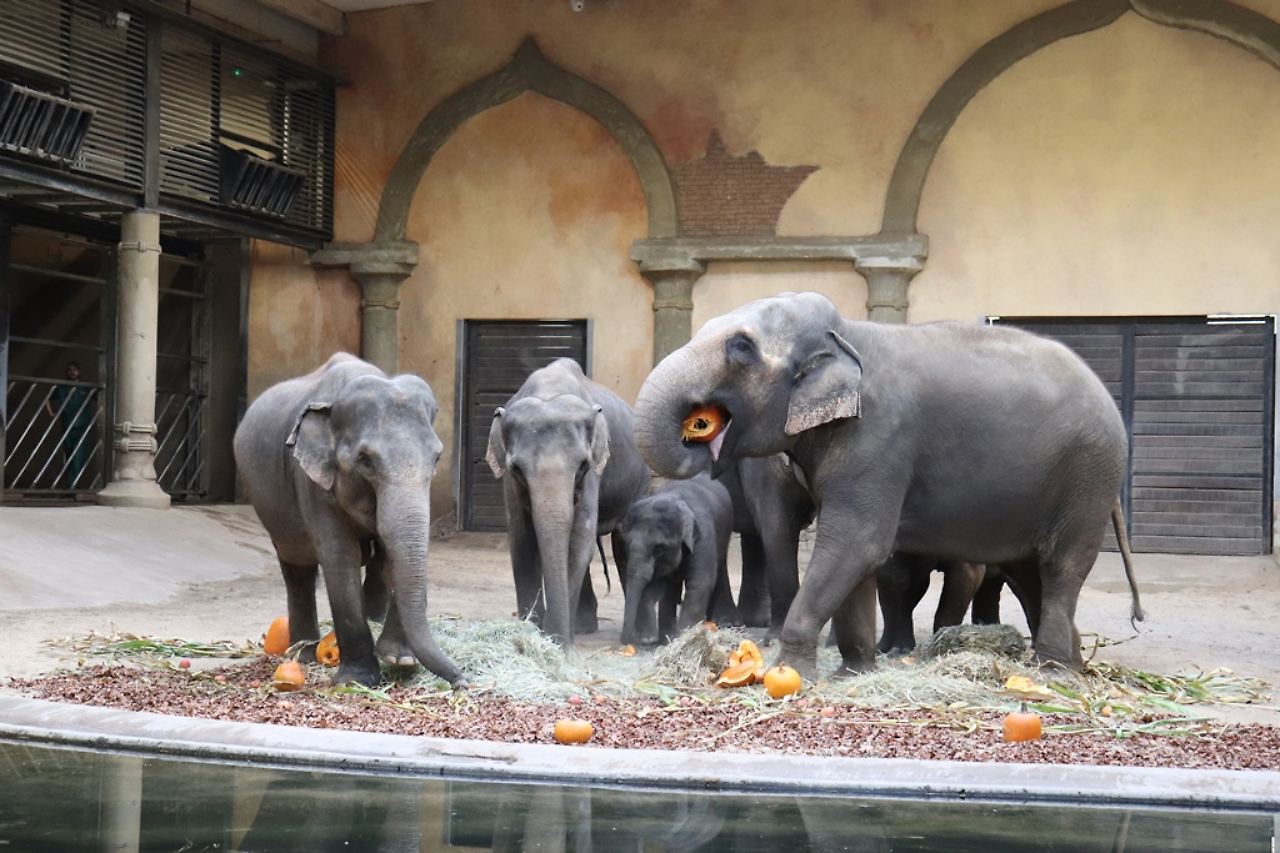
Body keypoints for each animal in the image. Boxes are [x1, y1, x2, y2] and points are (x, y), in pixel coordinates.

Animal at [232, 350, 463, 686]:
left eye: (437, 458)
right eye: (365, 460)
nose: (461, 680)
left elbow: (391, 554)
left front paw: (400, 660)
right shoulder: (311, 481)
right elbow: (341, 557)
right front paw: (356, 680)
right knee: (297, 567)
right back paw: (303, 653)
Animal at [486, 356, 655, 645]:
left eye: (582, 465)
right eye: (517, 468)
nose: (552, 635)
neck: (549, 392)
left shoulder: (594, 471)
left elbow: (579, 539)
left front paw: (557, 642)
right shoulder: (509, 481)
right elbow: (521, 539)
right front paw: (536, 634)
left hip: (642, 477)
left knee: (624, 536)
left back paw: (641, 638)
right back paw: (584, 627)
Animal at [611, 471, 737, 645]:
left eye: (659, 549)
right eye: (628, 544)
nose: (627, 641)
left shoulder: (703, 537)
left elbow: (699, 582)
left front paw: (685, 635)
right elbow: (656, 585)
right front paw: (655, 639)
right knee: (671, 585)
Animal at [634, 289, 1146, 676]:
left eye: (740, 348)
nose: (700, 432)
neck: (849, 332)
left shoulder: (878, 438)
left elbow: (856, 542)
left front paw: (789, 672)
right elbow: (857, 558)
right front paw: (853, 671)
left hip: (1088, 477)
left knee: (1062, 568)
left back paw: (1052, 673)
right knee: (1029, 572)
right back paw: (1073, 667)